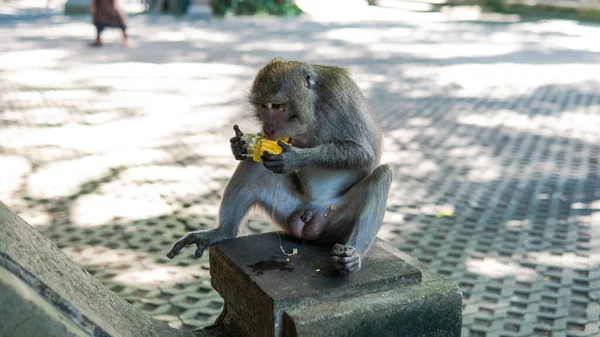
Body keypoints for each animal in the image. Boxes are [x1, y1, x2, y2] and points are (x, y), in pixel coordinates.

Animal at [168, 57, 394, 272]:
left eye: (276, 106)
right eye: (262, 105)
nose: (268, 129)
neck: (313, 107)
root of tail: (309, 216)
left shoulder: (339, 97)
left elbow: (364, 154)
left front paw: (295, 158)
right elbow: (256, 154)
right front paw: (240, 146)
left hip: (336, 221)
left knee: (382, 175)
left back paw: (352, 258)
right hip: (287, 210)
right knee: (254, 165)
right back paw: (222, 232)